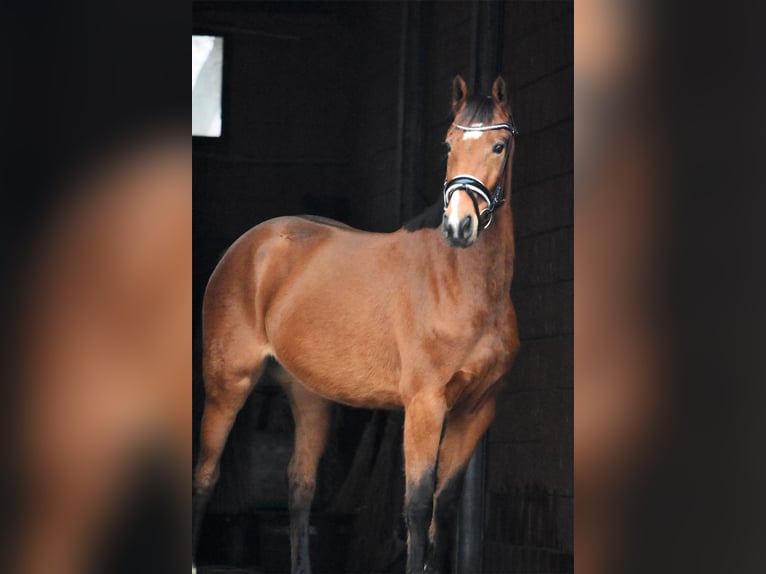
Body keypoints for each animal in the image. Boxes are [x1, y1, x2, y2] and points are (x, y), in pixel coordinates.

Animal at [194, 76, 520, 574]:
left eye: (499, 146)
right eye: (448, 144)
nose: (459, 227)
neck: (463, 284)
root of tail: (249, 245)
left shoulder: (475, 411)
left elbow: (443, 510)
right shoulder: (424, 406)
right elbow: (417, 506)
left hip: (308, 395)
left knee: (300, 487)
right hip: (228, 384)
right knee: (205, 476)